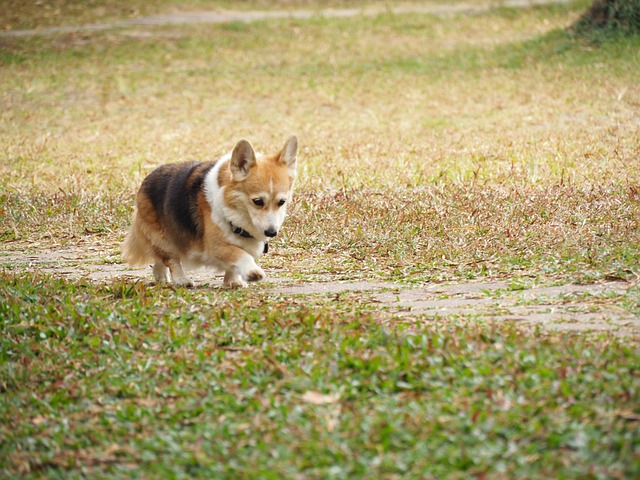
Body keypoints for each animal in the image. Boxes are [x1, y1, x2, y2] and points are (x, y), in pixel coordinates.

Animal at [124, 135, 298, 286]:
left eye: (282, 202)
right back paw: (181, 280)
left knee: (160, 259)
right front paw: (252, 271)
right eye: (258, 201)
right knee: (171, 259)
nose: (271, 232)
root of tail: (147, 179)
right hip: (164, 239)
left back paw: (161, 276)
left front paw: (232, 282)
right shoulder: (215, 246)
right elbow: (239, 254)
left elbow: (233, 265)